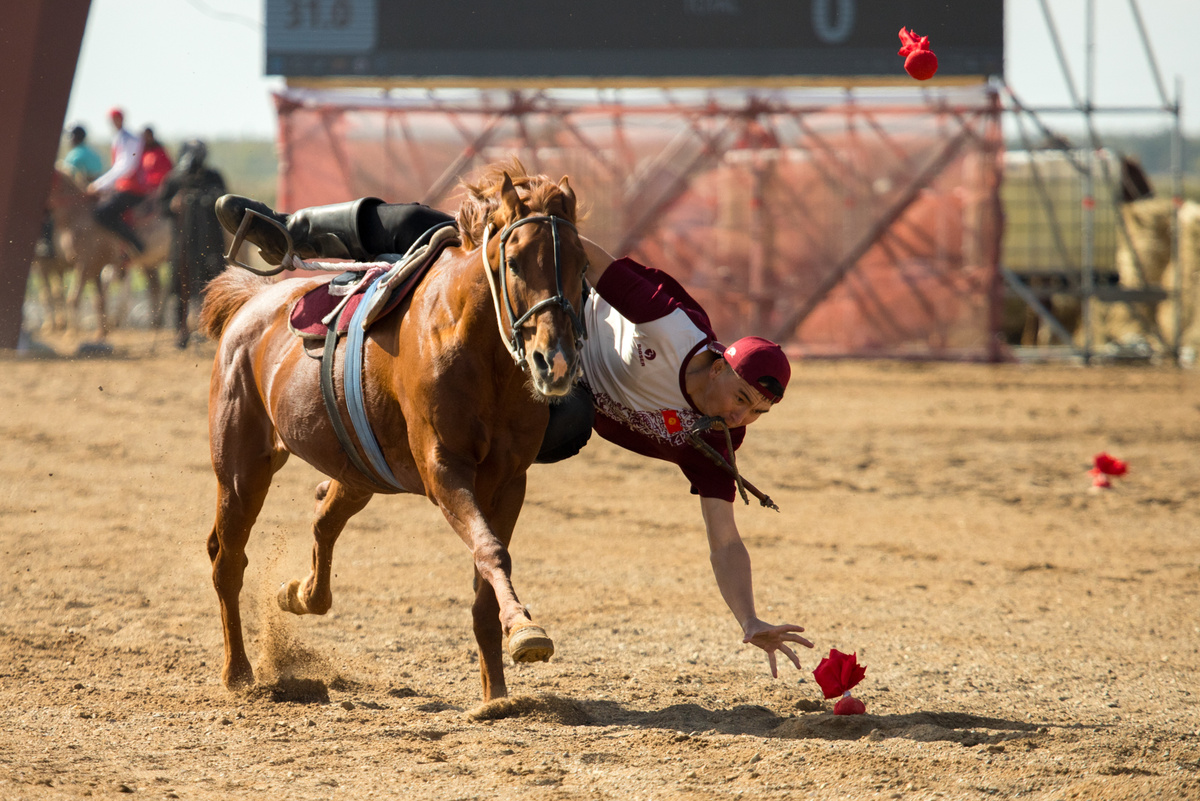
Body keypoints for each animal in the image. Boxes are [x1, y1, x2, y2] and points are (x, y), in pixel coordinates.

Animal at [45, 169, 171, 338]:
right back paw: (156, 321)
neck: (78, 216)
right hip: (152, 262)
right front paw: (102, 331)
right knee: (157, 287)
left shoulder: (85, 264)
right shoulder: (96, 266)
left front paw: (72, 332)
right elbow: (99, 299)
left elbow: (74, 298)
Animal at [199, 164, 588, 700]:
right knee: (228, 560)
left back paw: (300, 594)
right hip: (241, 469)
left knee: (322, 521)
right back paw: (238, 673)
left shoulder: (510, 482)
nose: (557, 363)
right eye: (513, 261)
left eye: (583, 266)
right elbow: (490, 550)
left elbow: (485, 580)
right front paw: (526, 631)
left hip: (357, 472)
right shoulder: (444, 473)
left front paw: (495, 696)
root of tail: (252, 303)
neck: (475, 345)